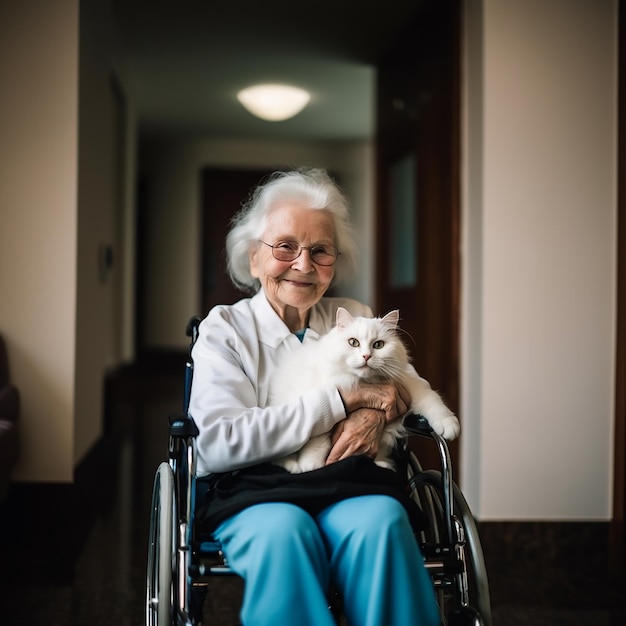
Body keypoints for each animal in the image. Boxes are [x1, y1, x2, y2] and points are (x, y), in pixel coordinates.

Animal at [268, 304, 458, 470]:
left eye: (378, 345)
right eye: (353, 343)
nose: (366, 356)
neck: (364, 382)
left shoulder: (410, 386)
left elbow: (433, 401)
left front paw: (449, 427)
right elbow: (318, 438)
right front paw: (311, 465)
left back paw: (382, 464)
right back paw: (294, 466)